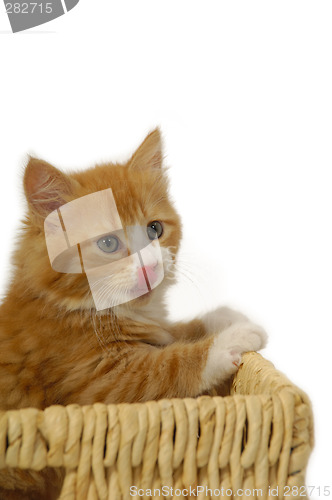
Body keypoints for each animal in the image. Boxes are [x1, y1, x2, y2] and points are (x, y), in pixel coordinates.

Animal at [0, 131, 266, 498]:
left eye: (154, 229)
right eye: (108, 244)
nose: (151, 265)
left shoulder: (153, 332)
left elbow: (173, 333)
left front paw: (224, 317)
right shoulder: (97, 384)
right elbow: (168, 366)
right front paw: (230, 340)